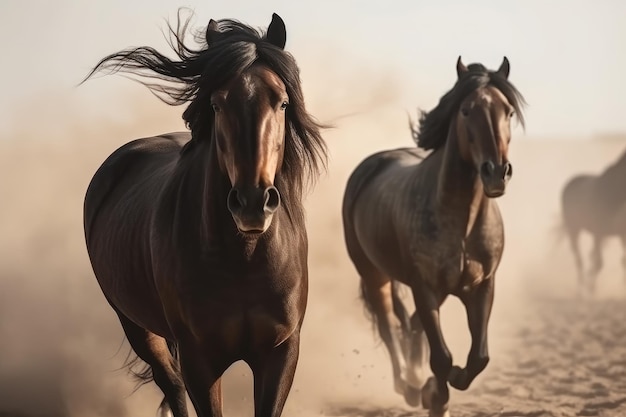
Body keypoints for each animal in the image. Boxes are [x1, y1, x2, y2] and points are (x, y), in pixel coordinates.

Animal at [82, 12, 324, 416]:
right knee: (171, 384)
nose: (252, 202)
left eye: (282, 103)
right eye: (217, 104)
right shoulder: (200, 360)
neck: (244, 260)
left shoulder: (280, 353)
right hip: (136, 327)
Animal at [342, 57, 520, 416]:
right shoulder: (424, 287)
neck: (462, 225)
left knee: (409, 325)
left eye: (508, 111)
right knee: (389, 326)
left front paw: (444, 384)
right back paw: (408, 386)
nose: (497, 172)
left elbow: (478, 357)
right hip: (374, 275)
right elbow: (442, 357)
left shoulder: (481, 287)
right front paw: (435, 397)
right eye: (466, 110)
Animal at [560, 148, 624, 294]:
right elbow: (599, 263)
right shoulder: (598, 233)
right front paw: (590, 288)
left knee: (589, 256)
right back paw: (580, 289)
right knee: (579, 259)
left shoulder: (620, 235)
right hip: (574, 229)